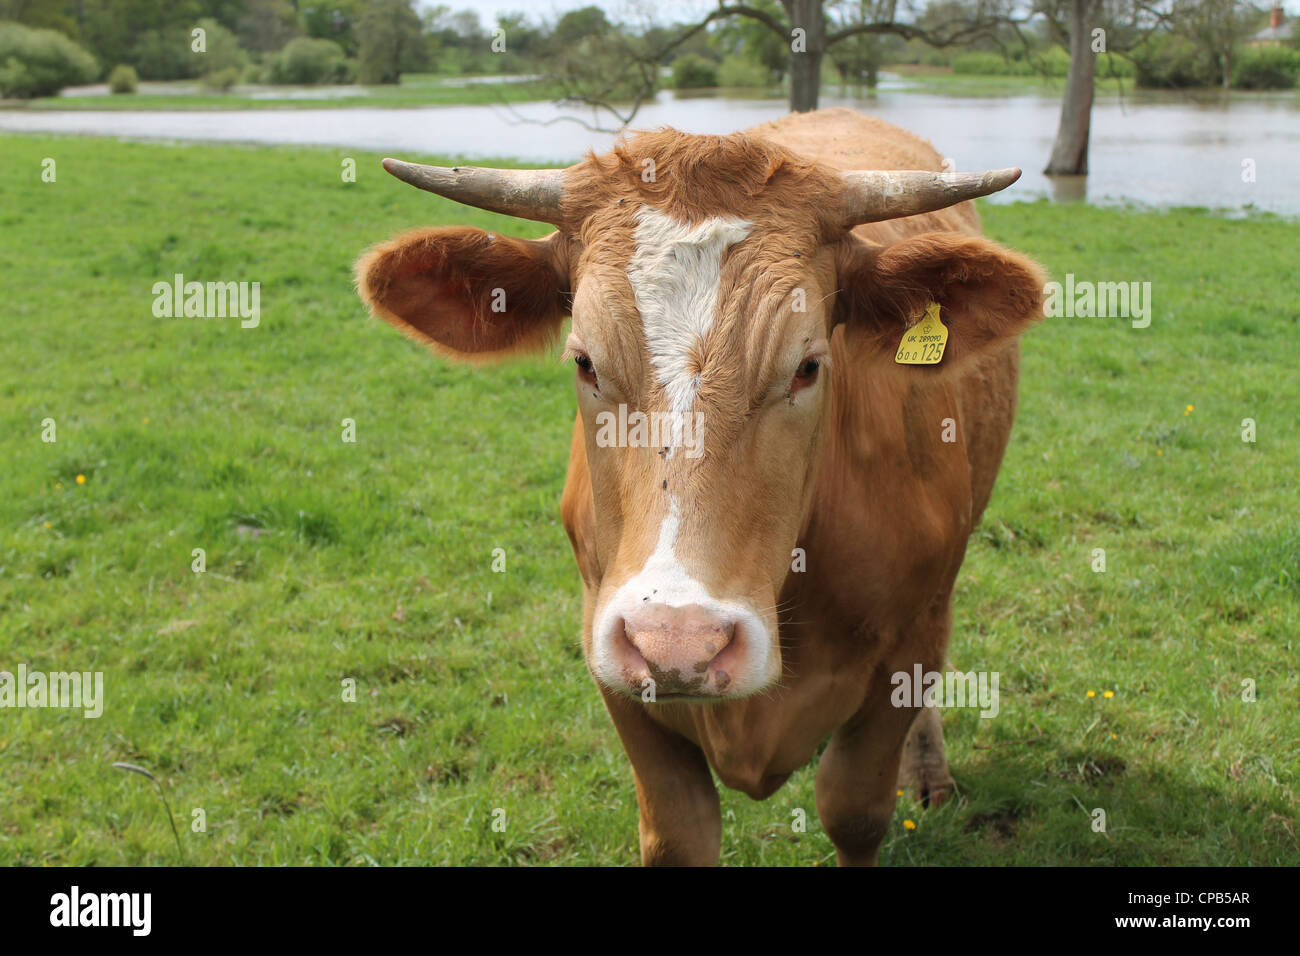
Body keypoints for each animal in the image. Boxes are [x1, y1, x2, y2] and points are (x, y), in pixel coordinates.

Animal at [358, 106, 1045, 868]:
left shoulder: (905, 651)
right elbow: (679, 831)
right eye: (584, 360)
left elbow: (855, 810)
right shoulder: (611, 658)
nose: (679, 644)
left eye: (808, 365)